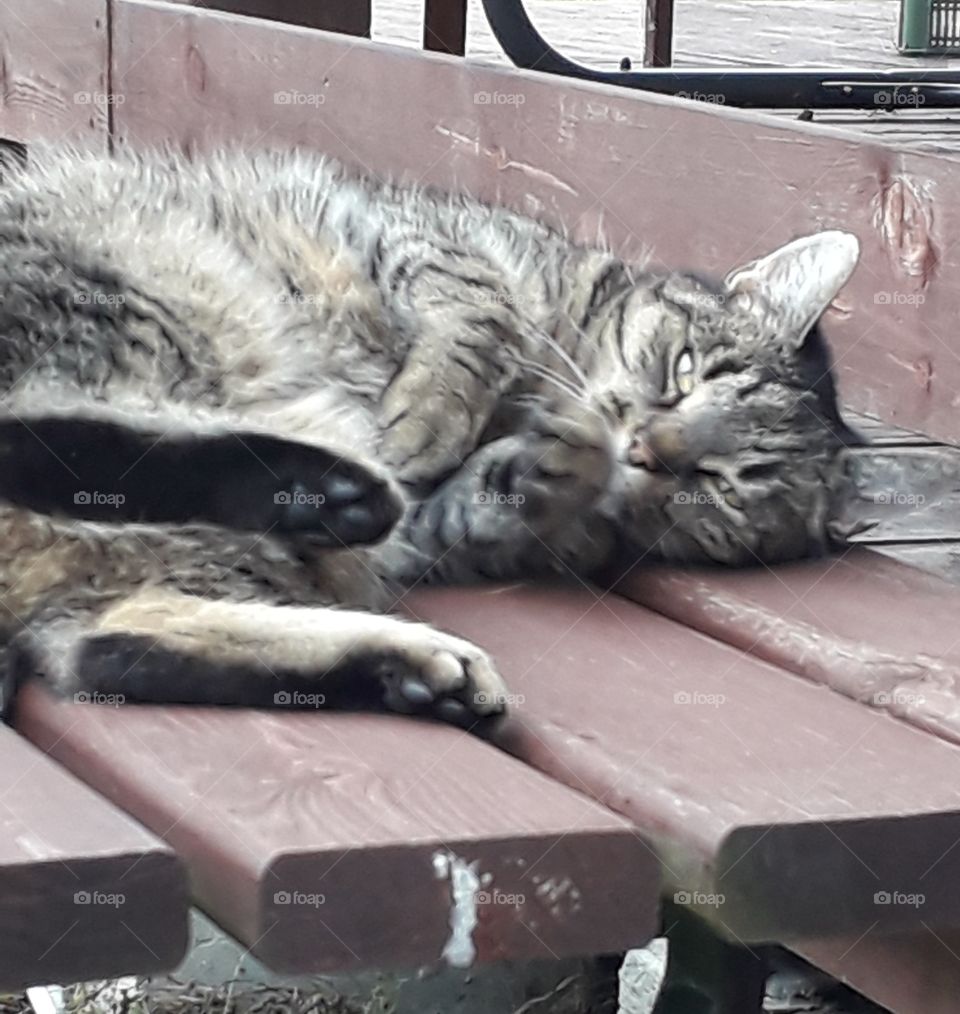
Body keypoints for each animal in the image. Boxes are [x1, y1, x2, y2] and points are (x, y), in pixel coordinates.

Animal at [0, 147, 859, 726]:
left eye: (719, 484)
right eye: (685, 371)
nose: (644, 446)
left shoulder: (442, 530)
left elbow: (490, 497)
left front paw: (548, 473)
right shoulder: (418, 234)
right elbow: (485, 309)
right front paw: (438, 415)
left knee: (107, 646)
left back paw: (410, 660)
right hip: (146, 294)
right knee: (26, 442)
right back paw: (328, 489)